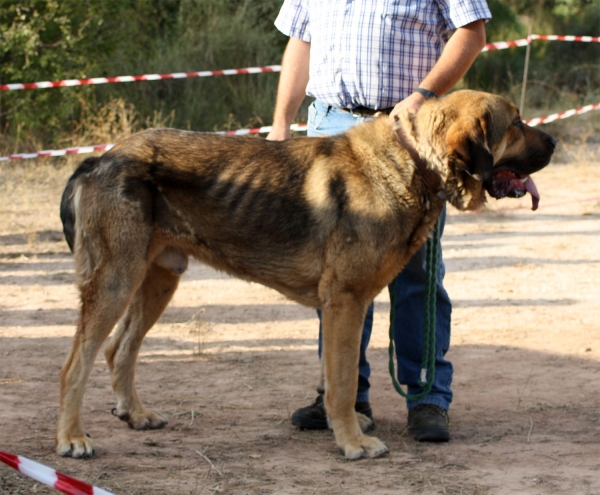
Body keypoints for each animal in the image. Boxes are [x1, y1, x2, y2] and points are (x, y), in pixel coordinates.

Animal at [57, 90, 556, 462]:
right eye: (516, 123)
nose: (553, 142)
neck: (413, 162)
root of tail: (98, 160)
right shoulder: (346, 303)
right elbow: (343, 384)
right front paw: (354, 443)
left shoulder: (348, 307)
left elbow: (338, 379)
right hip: (116, 281)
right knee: (75, 364)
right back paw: (72, 438)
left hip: (158, 280)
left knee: (119, 349)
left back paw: (136, 414)